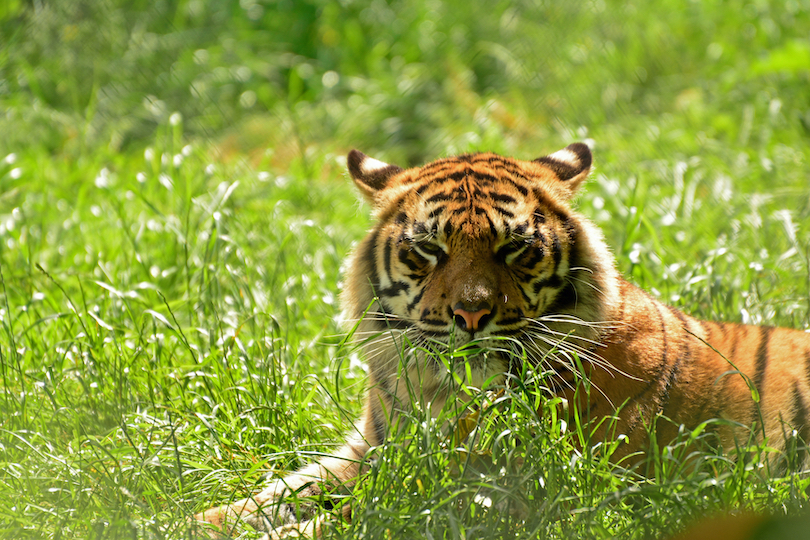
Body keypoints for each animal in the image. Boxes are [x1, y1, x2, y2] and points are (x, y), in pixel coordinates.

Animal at [196, 142, 808, 536]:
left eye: (515, 249)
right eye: (429, 249)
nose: (472, 314)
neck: (438, 390)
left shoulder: (491, 486)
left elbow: (342, 519)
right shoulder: (371, 449)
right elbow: (277, 492)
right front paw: (191, 518)